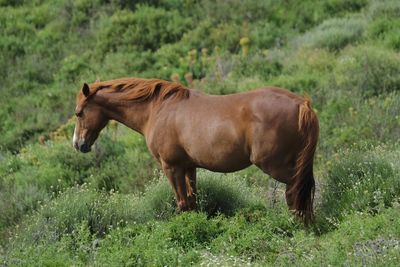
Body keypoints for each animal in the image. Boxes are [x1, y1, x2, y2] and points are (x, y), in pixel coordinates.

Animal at [72, 77, 318, 224]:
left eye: (79, 112)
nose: (78, 144)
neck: (157, 110)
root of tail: (301, 104)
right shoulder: (189, 167)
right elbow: (192, 201)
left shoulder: (171, 167)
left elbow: (182, 203)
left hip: (275, 165)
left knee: (295, 191)